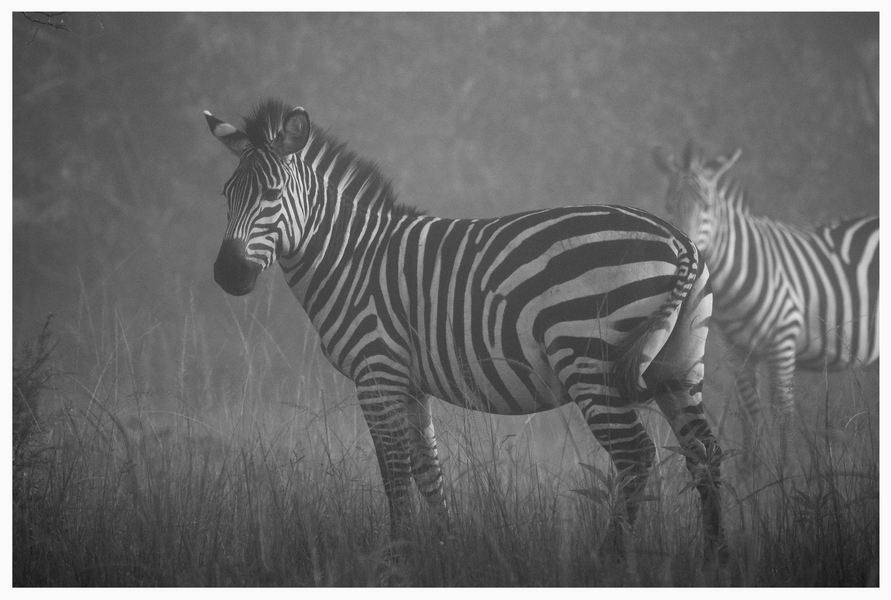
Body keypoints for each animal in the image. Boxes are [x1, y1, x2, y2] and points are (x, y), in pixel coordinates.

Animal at [206, 99, 728, 564]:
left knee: (636, 454)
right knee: (705, 451)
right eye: (227, 194)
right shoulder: (409, 382)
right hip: (680, 363)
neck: (349, 257)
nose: (228, 275)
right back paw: (714, 556)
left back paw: (609, 558)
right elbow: (427, 469)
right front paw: (443, 548)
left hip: (587, 356)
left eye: (273, 195)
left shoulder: (377, 372)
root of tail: (680, 241)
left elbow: (394, 469)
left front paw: (397, 557)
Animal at [652, 143, 880, 466]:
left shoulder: (782, 342)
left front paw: (786, 474)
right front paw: (752, 474)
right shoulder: (738, 351)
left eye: (707, 207)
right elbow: (749, 415)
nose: (690, 251)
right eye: (669, 206)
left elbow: (783, 416)